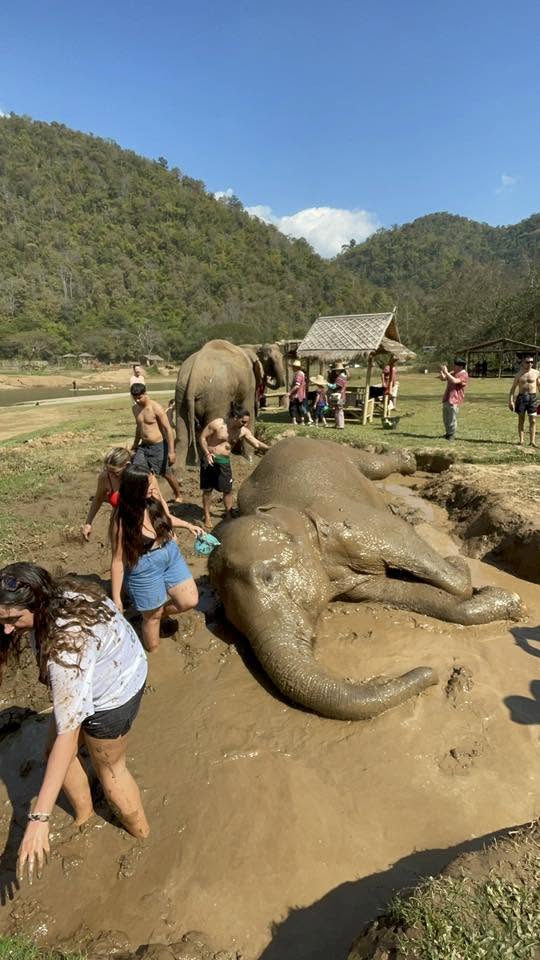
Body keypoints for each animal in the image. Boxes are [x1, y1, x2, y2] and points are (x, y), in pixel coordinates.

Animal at [208, 437, 523, 721]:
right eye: (228, 620)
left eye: (270, 577)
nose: (432, 673)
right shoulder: (350, 579)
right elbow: (394, 592)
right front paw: (506, 600)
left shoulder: (350, 523)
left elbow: (405, 538)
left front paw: (459, 564)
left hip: (331, 448)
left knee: (375, 465)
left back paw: (407, 460)